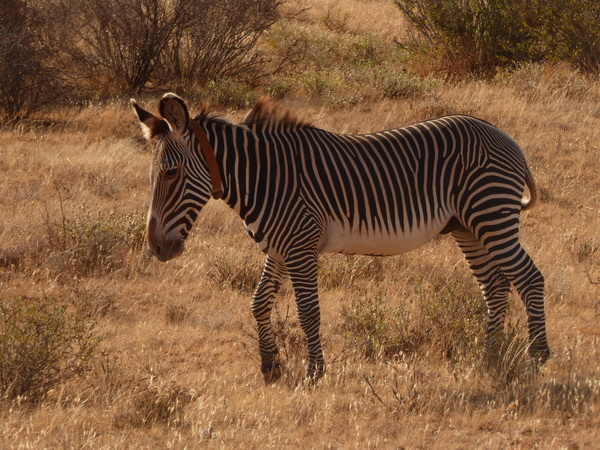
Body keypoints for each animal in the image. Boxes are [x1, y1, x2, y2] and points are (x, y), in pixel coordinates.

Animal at [134, 93, 552, 382]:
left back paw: (539, 357)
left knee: (529, 278)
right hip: (468, 227)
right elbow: (258, 302)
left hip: (491, 214)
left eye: (171, 174)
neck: (264, 178)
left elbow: (308, 312)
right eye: (154, 175)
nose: (156, 247)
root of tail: (505, 137)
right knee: (495, 286)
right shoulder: (280, 249)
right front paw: (270, 367)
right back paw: (489, 358)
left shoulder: (300, 247)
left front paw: (314, 372)